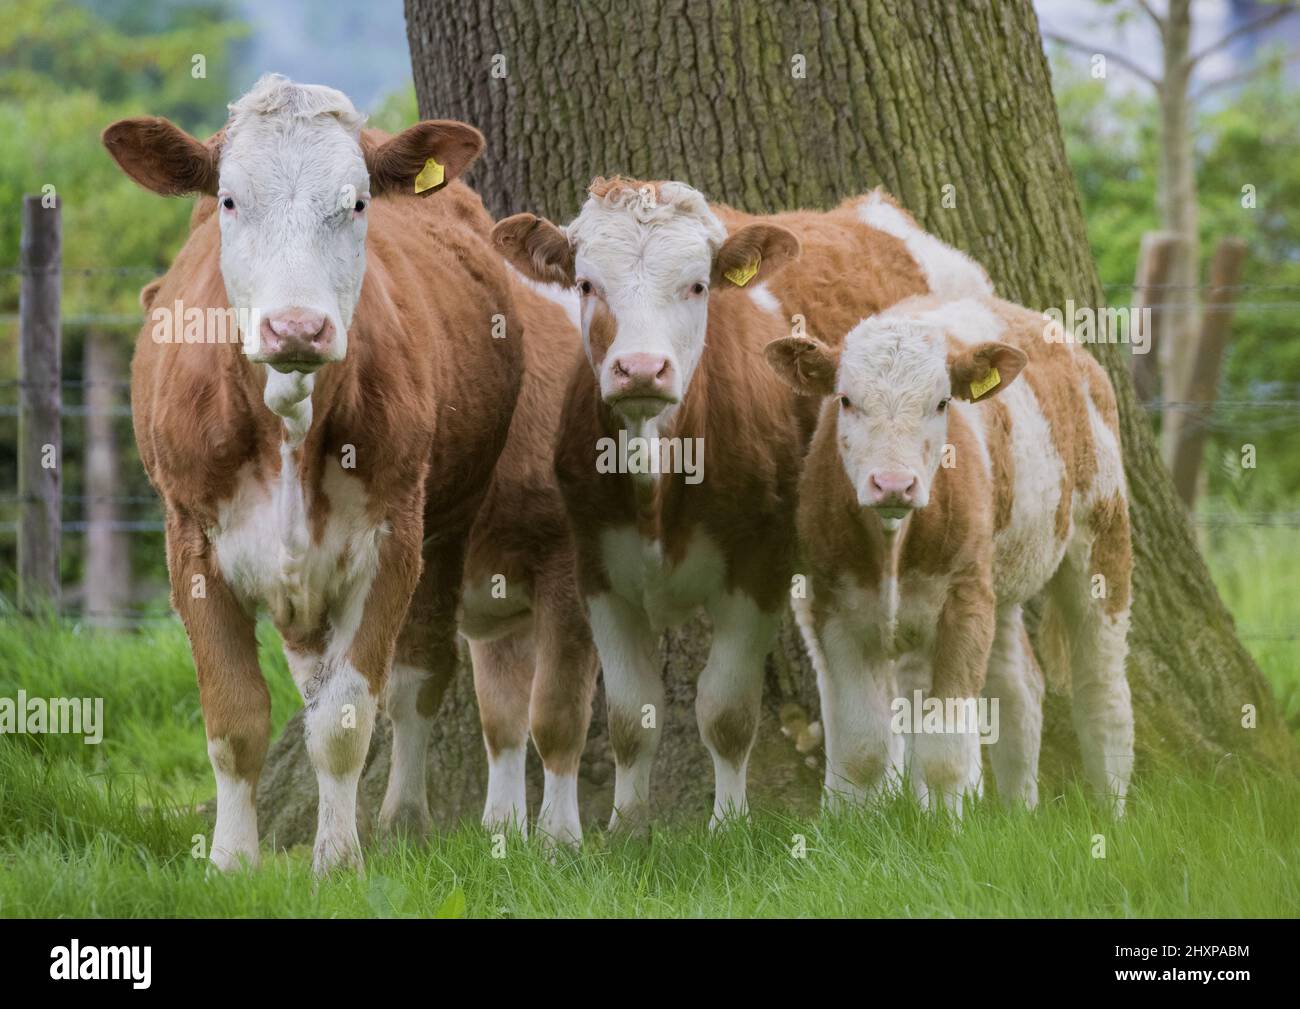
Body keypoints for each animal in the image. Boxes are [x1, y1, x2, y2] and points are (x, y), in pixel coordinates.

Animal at [104, 75, 525, 874]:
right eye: (230, 200)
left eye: (356, 203)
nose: (296, 328)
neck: (288, 425)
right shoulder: (190, 540)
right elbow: (235, 718)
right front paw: (231, 860)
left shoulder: (395, 536)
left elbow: (346, 717)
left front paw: (337, 859)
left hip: (451, 519)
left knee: (418, 674)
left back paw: (404, 817)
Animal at [492, 177, 997, 828]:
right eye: (586, 284)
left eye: (697, 285)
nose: (641, 369)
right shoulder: (597, 568)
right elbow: (632, 715)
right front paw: (627, 828)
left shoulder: (758, 567)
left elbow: (726, 712)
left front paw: (728, 825)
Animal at [765, 293, 1135, 816]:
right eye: (845, 400)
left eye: (941, 403)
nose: (893, 484)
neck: (892, 539)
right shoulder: (831, 604)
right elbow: (863, 747)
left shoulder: (963, 601)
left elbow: (945, 750)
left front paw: (948, 826)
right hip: (998, 577)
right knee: (1020, 686)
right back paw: (1020, 813)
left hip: (1100, 529)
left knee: (1101, 689)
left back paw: (1112, 813)